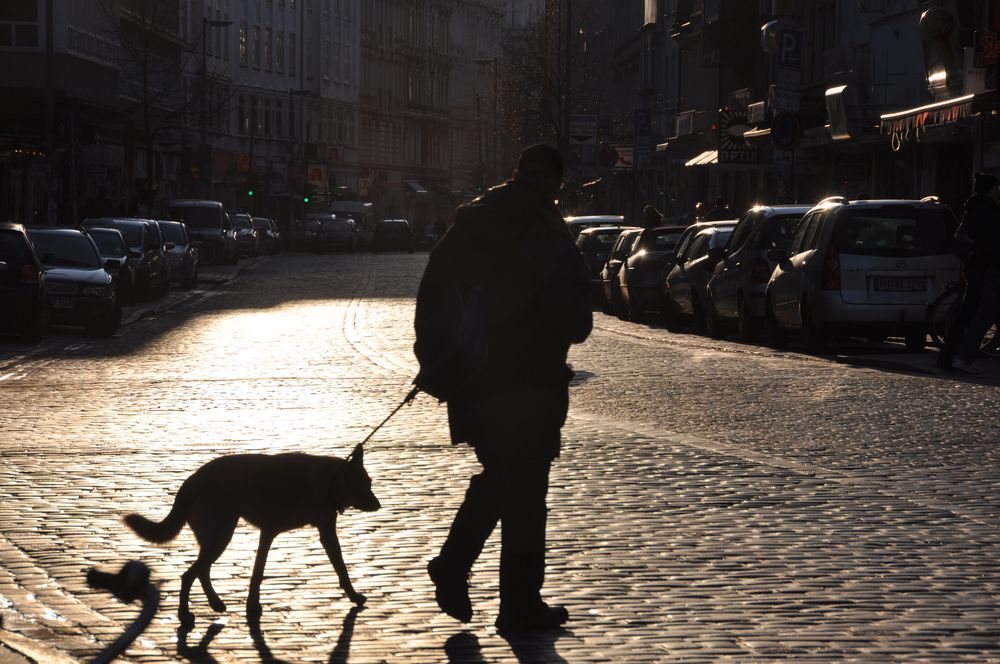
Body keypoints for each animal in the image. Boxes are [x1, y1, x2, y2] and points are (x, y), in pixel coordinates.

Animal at [122, 446, 378, 628]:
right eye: (365, 485)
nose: (378, 505)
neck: (331, 479)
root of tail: (193, 480)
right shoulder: (326, 532)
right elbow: (341, 568)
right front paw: (354, 596)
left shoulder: (268, 533)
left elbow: (257, 572)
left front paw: (252, 605)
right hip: (221, 535)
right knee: (189, 574)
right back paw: (185, 614)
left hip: (217, 537)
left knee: (201, 570)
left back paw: (215, 603)